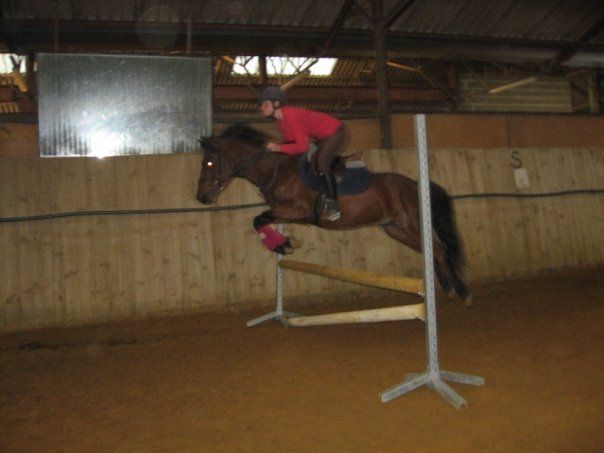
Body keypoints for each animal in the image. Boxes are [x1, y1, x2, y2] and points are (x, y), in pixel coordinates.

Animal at [196, 123, 472, 305]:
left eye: (209, 163)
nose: (201, 197)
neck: (275, 170)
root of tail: (414, 184)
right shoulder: (286, 213)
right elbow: (260, 221)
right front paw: (284, 244)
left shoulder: (298, 211)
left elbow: (259, 219)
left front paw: (283, 245)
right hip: (396, 229)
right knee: (430, 250)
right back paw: (446, 287)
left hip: (411, 224)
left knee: (439, 250)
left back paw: (462, 292)